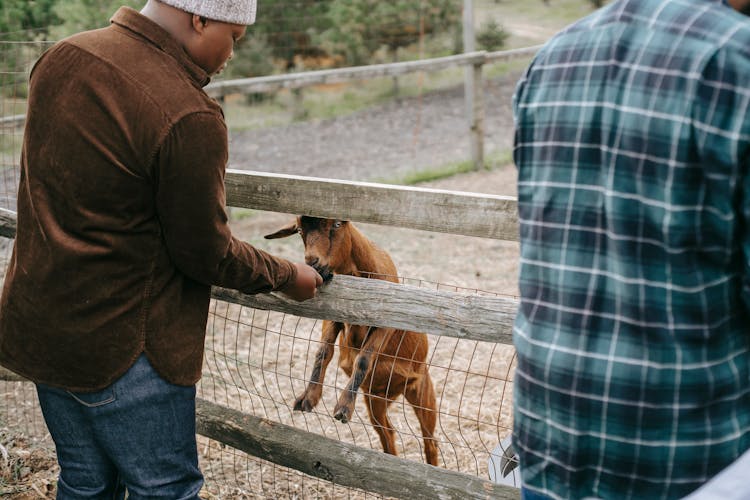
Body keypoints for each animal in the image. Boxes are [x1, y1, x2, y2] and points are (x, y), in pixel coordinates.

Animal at [264, 217, 440, 466]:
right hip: (375, 398)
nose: (313, 262)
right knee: (387, 433)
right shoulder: (335, 313)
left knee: (430, 441)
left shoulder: (384, 321)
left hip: (421, 391)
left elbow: (364, 358)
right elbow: (323, 351)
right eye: (299, 230)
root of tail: (392, 392)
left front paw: (343, 408)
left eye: (337, 224)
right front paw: (309, 398)